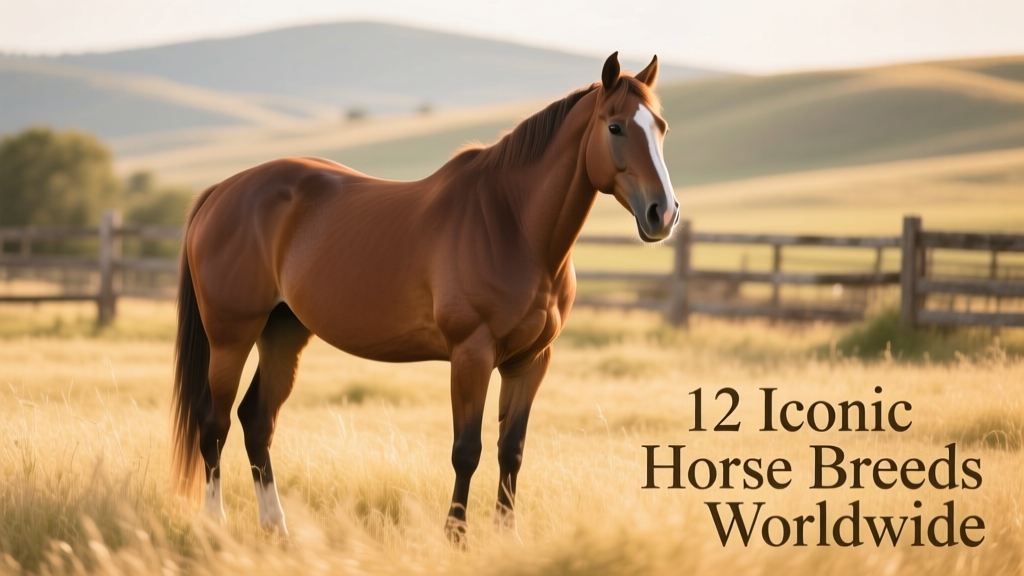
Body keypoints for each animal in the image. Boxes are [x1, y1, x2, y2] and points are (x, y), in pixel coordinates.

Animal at [171, 51, 678, 544]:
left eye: (661, 127)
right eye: (615, 127)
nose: (664, 213)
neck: (512, 226)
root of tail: (221, 191)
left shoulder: (531, 360)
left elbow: (511, 450)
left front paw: (507, 538)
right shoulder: (472, 354)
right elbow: (467, 450)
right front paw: (456, 537)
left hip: (283, 334)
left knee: (257, 422)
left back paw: (277, 528)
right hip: (231, 337)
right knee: (214, 424)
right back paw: (214, 526)